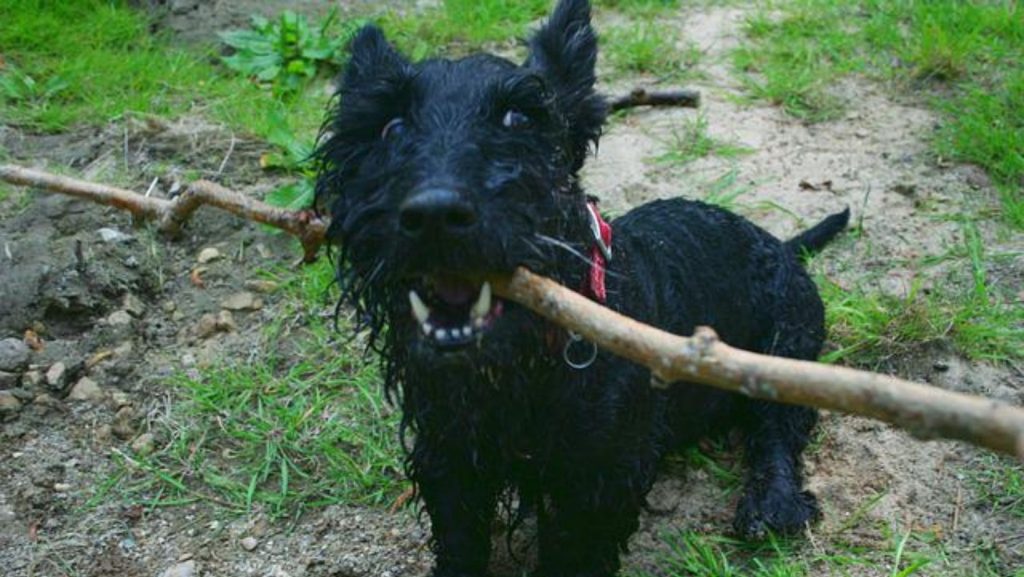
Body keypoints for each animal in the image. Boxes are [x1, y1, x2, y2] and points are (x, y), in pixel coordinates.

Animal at [315, 2, 851, 573]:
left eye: (519, 117)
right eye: (389, 125)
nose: (434, 214)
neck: (523, 367)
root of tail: (783, 245)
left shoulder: (599, 479)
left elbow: (576, 548)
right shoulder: (449, 455)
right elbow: (460, 540)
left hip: (788, 353)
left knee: (777, 432)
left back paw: (772, 503)